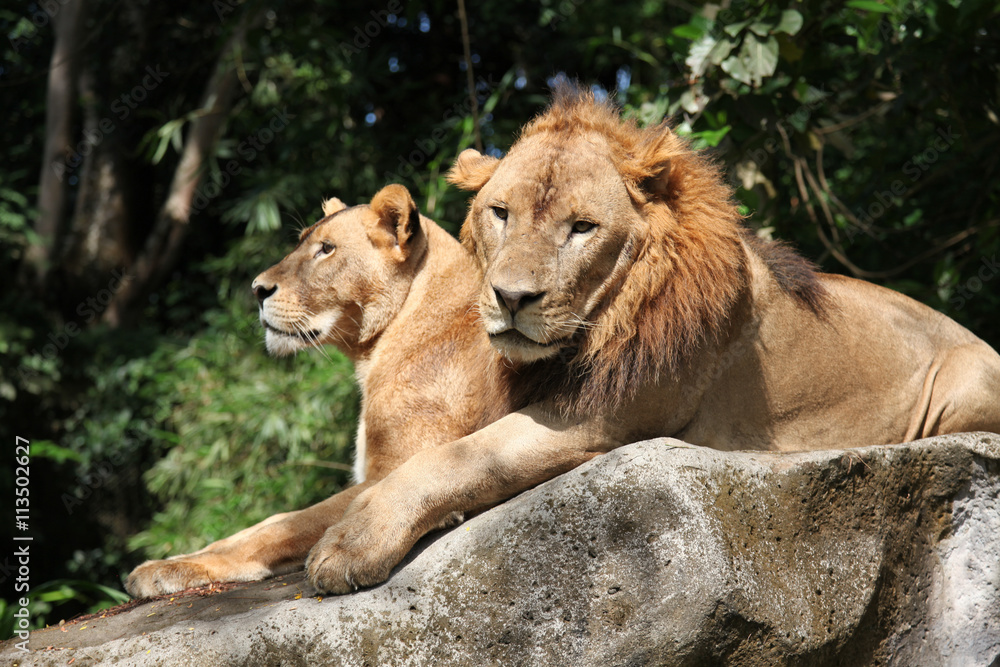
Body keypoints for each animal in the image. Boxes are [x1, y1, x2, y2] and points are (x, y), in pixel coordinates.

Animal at [125, 184, 525, 598]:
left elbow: (282, 527)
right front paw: (171, 560)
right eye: (301, 243)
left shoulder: (394, 469)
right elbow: (266, 521)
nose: (256, 290)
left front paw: (173, 568)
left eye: (326, 249)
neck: (373, 352)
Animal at [300, 87, 1000, 595]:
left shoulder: (604, 414)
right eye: (501, 213)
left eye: (583, 227)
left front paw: (351, 543)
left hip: (965, 378)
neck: (601, 321)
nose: (511, 298)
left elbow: (458, 460)